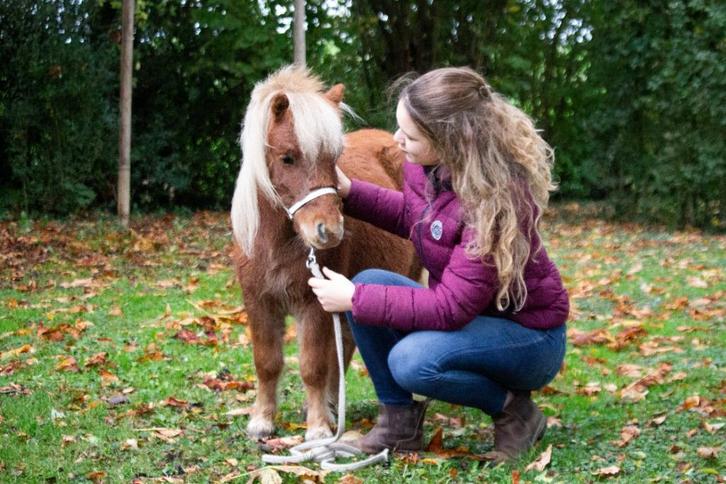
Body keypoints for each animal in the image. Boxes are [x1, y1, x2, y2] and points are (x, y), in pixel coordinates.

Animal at [230, 66, 420, 441]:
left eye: (333, 159)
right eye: (287, 157)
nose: (329, 231)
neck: (274, 244)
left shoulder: (315, 304)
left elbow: (313, 365)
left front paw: (317, 427)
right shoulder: (258, 303)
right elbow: (267, 362)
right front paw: (262, 420)